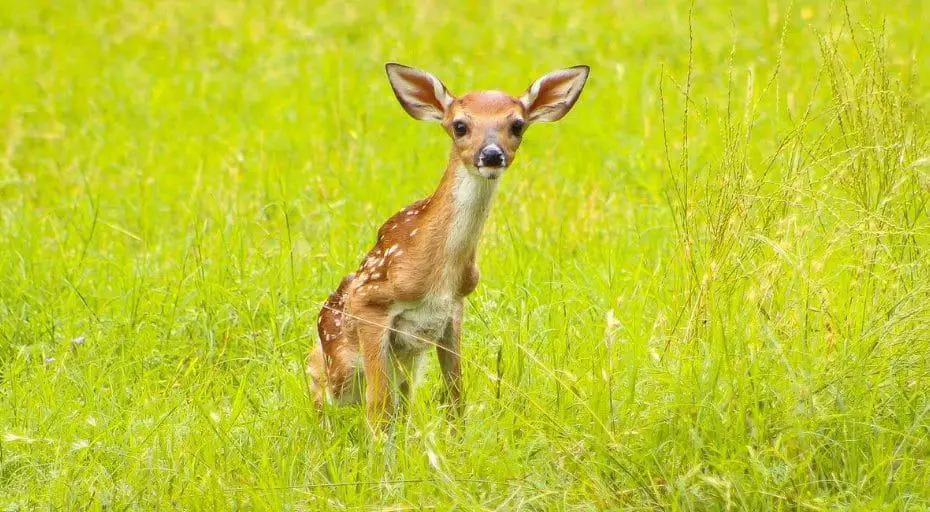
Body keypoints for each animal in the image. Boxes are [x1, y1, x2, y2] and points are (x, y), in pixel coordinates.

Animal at [307, 63, 589, 430]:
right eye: (460, 126)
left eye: (517, 124)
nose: (492, 154)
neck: (441, 270)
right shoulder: (370, 301)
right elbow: (378, 407)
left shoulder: (454, 307)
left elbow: (456, 395)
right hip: (342, 359)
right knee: (318, 372)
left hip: (407, 362)